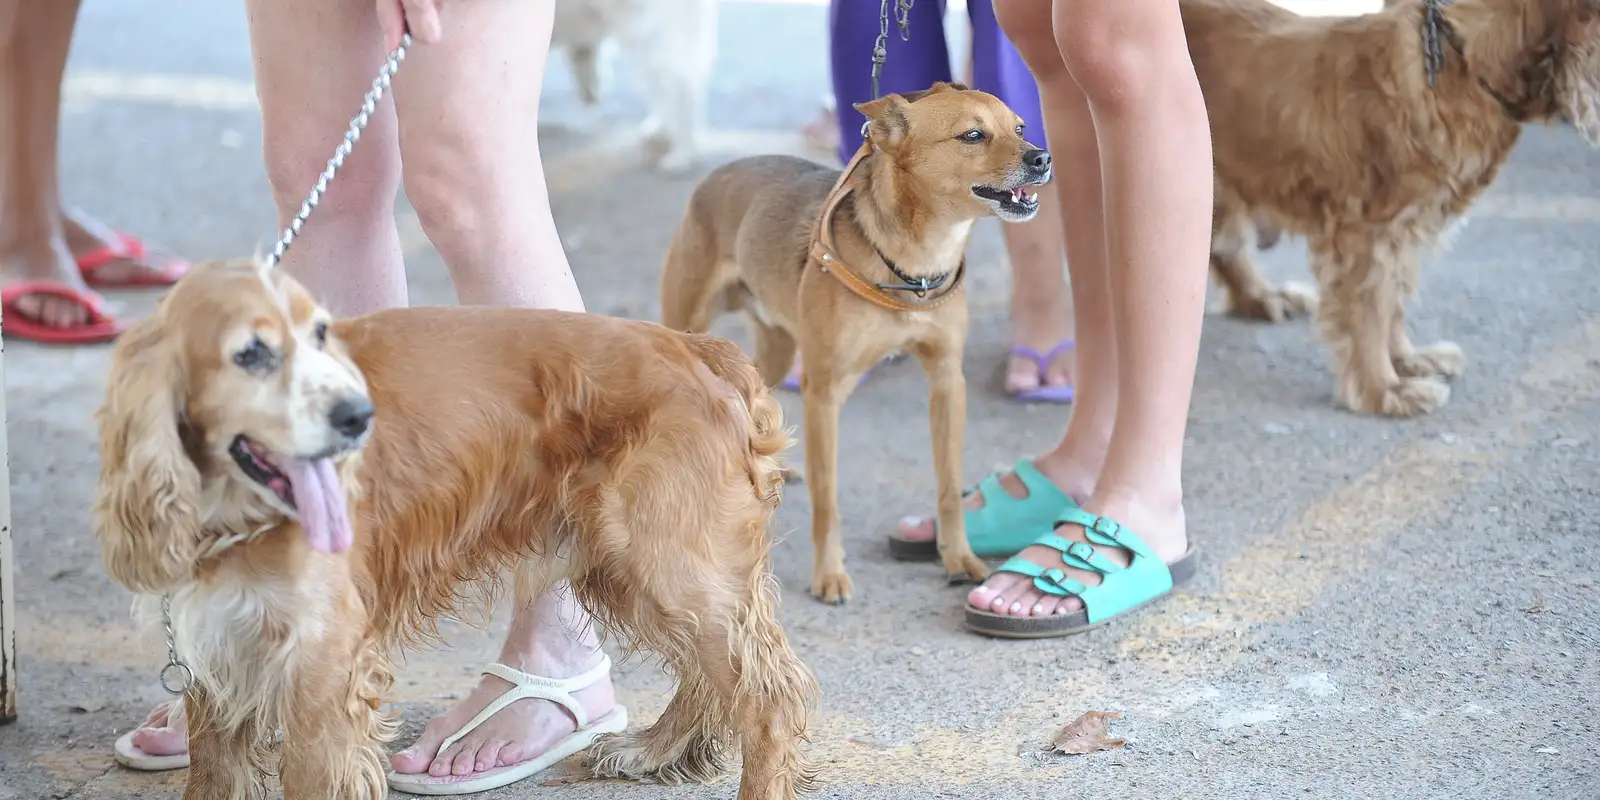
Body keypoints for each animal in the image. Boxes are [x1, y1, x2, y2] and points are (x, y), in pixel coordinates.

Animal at [90, 259, 812, 796]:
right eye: (251, 354)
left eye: (320, 334)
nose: (359, 416)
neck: (234, 511)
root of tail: (700, 349)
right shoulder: (221, 645)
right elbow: (212, 771)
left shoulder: (321, 662)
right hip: (634, 566)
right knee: (714, 676)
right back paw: (653, 749)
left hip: (664, 562)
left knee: (767, 698)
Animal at [652, 84, 1049, 601]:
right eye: (973, 135)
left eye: (1019, 127)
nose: (1042, 157)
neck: (916, 263)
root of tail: (717, 174)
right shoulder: (825, 394)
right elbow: (827, 498)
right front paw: (829, 574)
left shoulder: (946, 381)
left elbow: (948, 485)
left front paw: (958, 557)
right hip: (690, 328)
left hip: (777, 350)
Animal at [1190, 0, 1600, 416]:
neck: (1460, 62)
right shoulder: (1365, 234)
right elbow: (1370, 312)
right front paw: (1384, 389)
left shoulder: (1402, 232)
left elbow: (1393, 304)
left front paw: (1408, 361)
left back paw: (1263, 296)